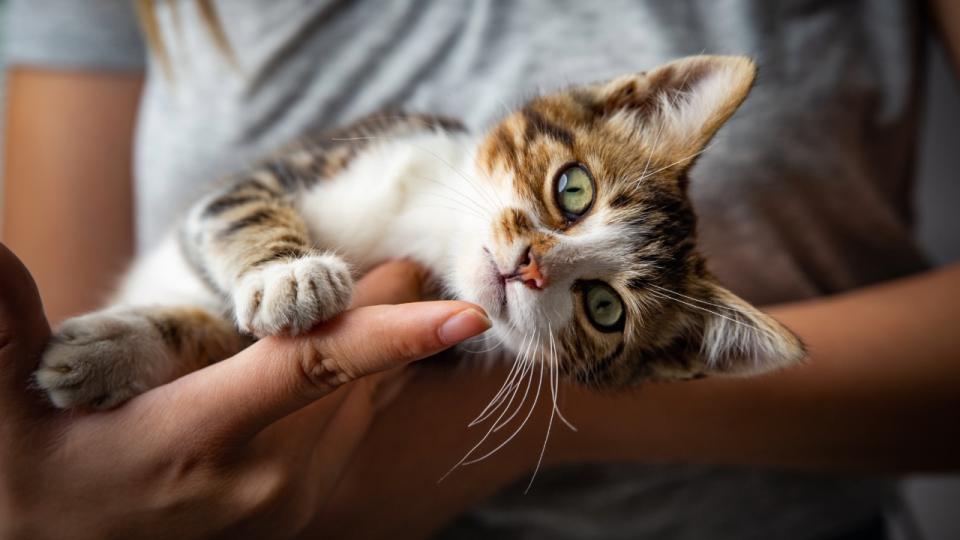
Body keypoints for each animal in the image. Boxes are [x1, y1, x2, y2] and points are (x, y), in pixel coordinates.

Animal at [35, 56, 804, 410]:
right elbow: (238, 209)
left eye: (604, 308)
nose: (529, 266)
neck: (426, 227)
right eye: (574, 191)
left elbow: (220, 333)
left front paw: (109, 354)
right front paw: (287, 274)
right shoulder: (299, 164)